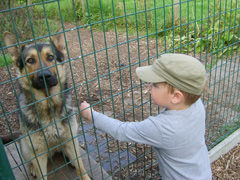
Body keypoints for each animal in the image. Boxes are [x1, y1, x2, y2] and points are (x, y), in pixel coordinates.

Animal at [4, 28, 91, 180]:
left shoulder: (70, 139)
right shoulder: (38, 153)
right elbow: (41, 174)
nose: (44, 76)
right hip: (26, 146)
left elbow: (81, 168)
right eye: (30, 60)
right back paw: (32, 168)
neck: (50, 106)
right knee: (30, 160)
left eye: (50, 57)